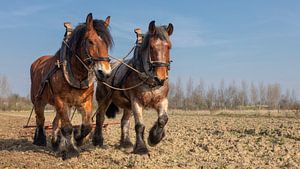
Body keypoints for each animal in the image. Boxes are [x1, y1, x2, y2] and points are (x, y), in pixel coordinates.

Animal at [30, 12, 112, 158]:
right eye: (90, 41)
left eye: (107, 43)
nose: (105, 73)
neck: (77, 74)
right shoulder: (60, 100)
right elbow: (67, 127)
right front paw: (71, 150)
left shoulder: (85, 101)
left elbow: (87, 126)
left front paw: (78, 139)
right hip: (38, 100)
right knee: (40, 119)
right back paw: (40, 140)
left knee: (55, 121)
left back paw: (55, 143)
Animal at [94, 20, 173, 154]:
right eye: (151, 47)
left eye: (168, 46)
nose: (160, 78)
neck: (150, 81)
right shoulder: (136, 101)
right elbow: (139, 125)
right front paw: (141, 148)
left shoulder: (162, 100)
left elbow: (163, 119)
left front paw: (154, 137)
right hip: (103, 99)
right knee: (100, 117)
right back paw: (98, 141)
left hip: (127, 105)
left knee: (124, 121)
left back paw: (126, 143)